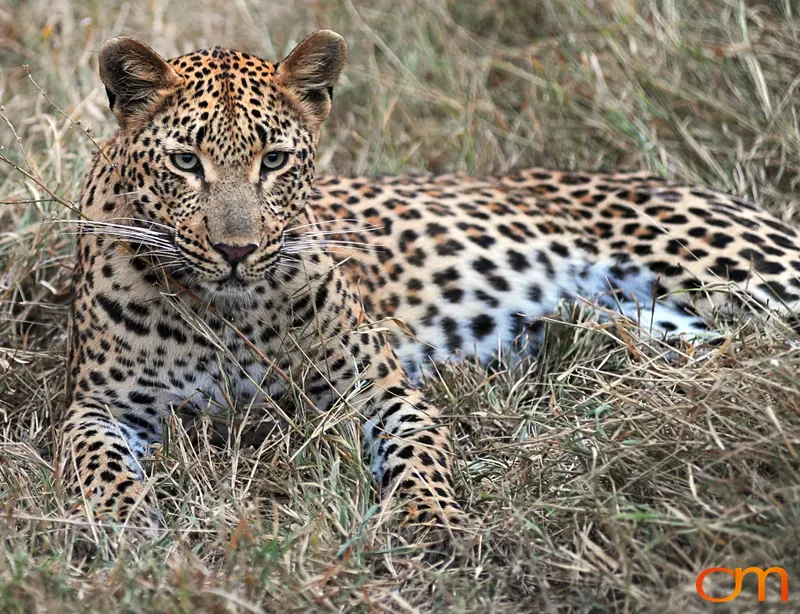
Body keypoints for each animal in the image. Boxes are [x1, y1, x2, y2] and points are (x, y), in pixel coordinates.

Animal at [62, 30, 800, 546]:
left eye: (273, 160)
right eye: (186, 161)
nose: (237, 251)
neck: (228, 312)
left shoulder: (382, 394)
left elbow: (419, 459)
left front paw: (432, 520)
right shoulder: (101, 407)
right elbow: (94, 461)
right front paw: (121, 522)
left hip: (737, 269)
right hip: (656, 327)